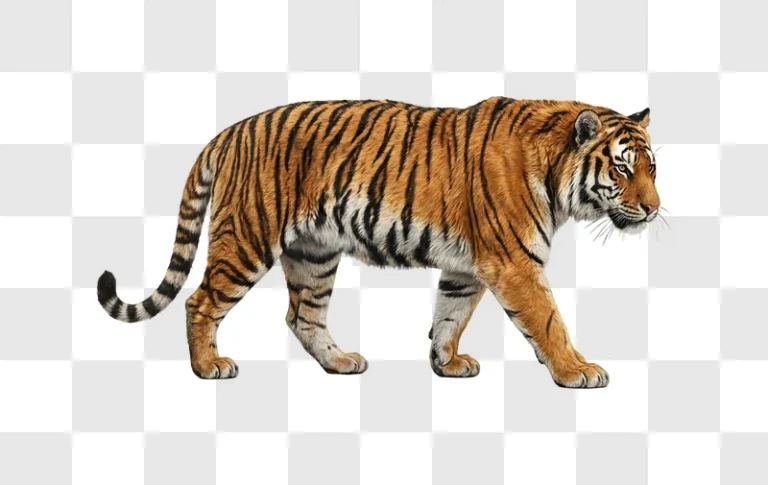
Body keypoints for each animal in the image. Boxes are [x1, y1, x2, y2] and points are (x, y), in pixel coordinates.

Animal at [96, 96, 660, 388]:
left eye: (652, 169)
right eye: (622, 169)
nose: (654, 209)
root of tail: (230, 131)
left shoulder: (468, 267)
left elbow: (450, 315)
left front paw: (447, 363)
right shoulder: (514, 263)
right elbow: (547, 321)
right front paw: (577, 370)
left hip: (314, 254)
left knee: (301, 316)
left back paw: (340, 362)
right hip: (247, 239)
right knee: (199, 301)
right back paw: (208, 367)